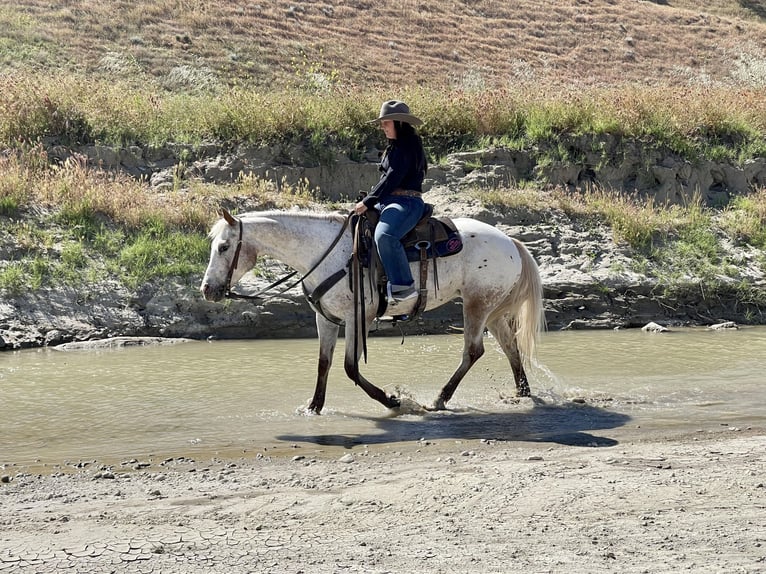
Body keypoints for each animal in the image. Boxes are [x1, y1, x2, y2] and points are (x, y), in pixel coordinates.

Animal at [200, 209, 544, 416]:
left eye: (223, 248)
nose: (207, 290)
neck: (324, 253)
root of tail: (510, 241)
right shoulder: (325, 319)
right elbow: (323, 364)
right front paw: (313, 407)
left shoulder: (358, 319)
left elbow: (350, 367)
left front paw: (393, 401)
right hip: (492, 309)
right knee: (510, 347)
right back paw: (523, 393)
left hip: (477, 305)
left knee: (473, 351)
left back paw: (440, 399)